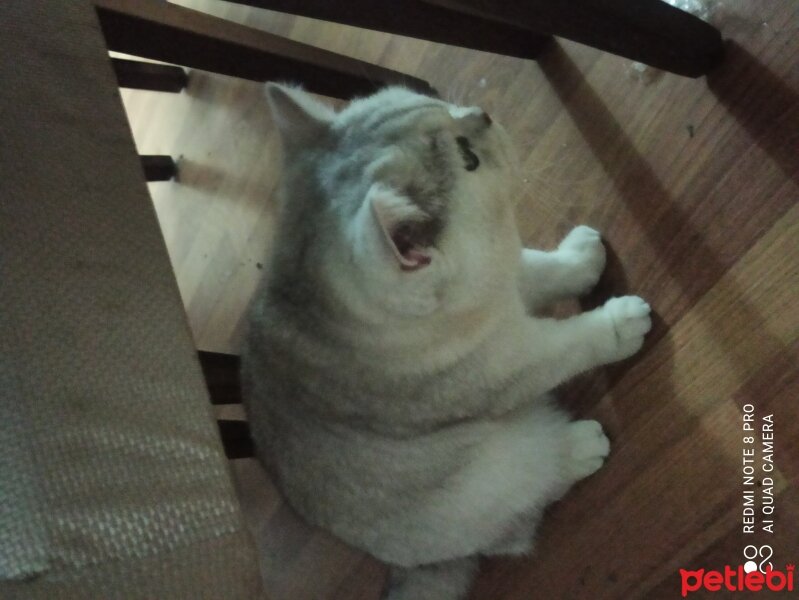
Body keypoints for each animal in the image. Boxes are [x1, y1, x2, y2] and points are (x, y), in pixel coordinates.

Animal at [242, 85, 648, 600]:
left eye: (429, 99)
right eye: (467, 157)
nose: (482, 114)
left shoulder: (503, 281)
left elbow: (543, 268)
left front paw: (579, 260)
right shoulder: (513, 363)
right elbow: (572, 344)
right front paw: (618, 323)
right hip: (494, 474)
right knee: (525, 510)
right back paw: (576, 446)